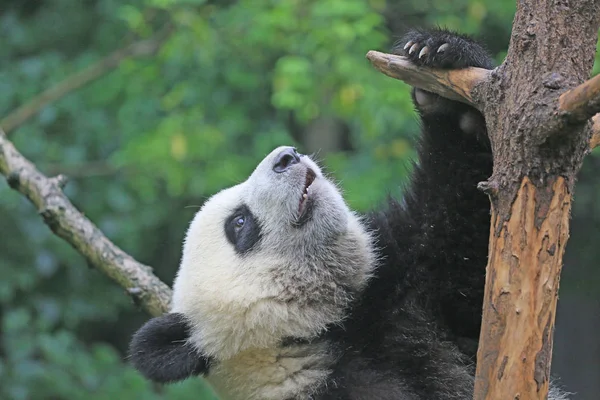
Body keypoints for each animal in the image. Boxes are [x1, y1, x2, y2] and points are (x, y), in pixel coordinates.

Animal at [126, 28, 568, 400]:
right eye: (239, 223)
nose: (287, 157)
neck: (328, 334)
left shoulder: (408, 284)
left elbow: (470, 242)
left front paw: (438, 61)